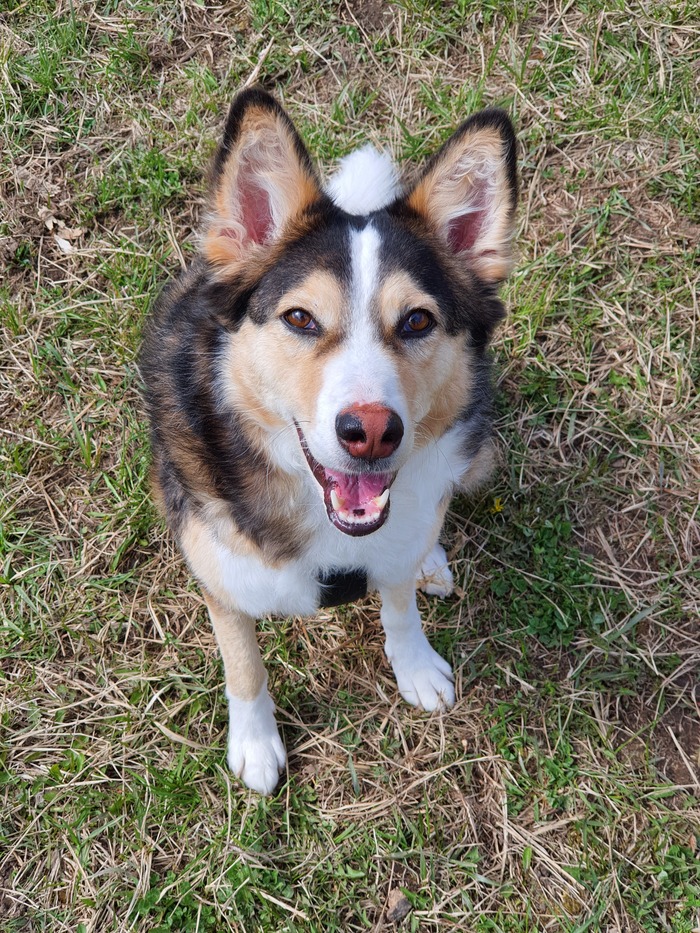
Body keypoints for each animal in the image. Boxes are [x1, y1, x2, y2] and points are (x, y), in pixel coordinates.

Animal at [140, 89, 517, 794]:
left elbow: (398, 606)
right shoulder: (221, 579)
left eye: (417, 320)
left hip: (479, 456)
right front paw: (255, 745)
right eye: (299, 318)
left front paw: (415, 666)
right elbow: (244, 664)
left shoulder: (397, 542)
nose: (370, 432)